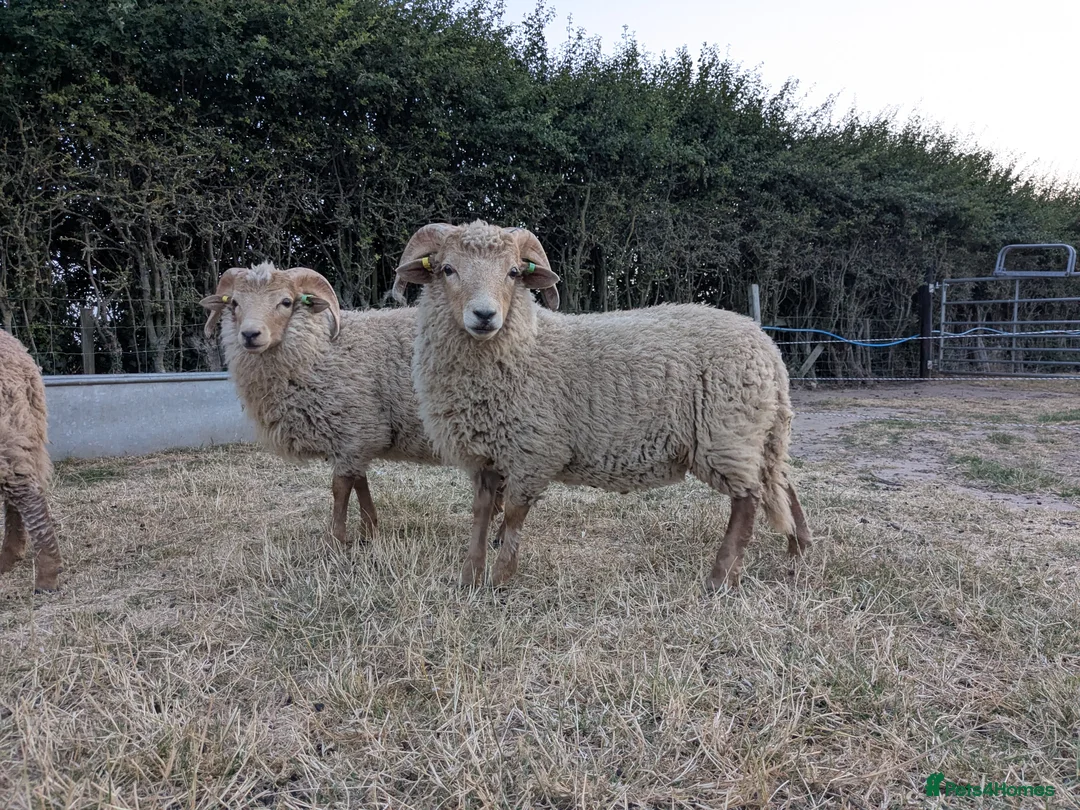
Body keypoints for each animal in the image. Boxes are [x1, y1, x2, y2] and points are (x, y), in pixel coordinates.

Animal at [200, 262, 515, 544]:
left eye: (286, 302)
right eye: (235, 303)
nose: (250, 335)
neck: (321, 349)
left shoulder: (353, 429)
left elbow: (339, 489)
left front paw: (336, 541)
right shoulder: (358, 436)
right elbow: (360, 482)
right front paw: (368, 530)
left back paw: (501, 535)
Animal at [395, 221, 811, 591]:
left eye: (513, 272)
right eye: (448, 269)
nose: (484, 315)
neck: (527, 347)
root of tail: (767, 346)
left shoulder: (534, 451)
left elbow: (512, 515)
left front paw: (499, 580)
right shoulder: (484, 455)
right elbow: (480, 514)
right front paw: (469, 578)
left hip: (728, 434)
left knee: (748, 499)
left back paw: (721, 578)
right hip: (763, 434)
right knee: (781, 484)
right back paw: (797, 554)